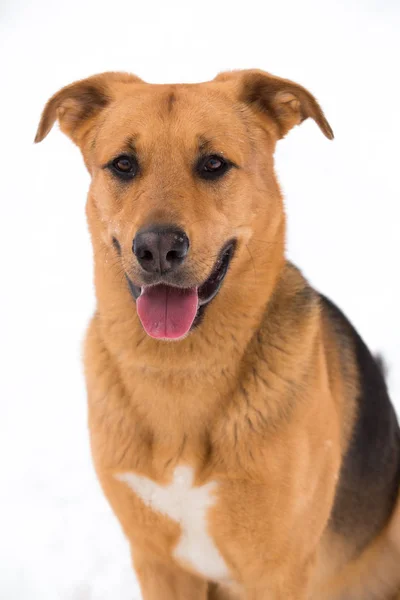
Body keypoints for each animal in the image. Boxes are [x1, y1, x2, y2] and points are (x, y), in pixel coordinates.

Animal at [35, 71, 400, 600]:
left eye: (213, 164)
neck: (180, 371)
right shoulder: (158, 563)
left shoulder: (278, 570)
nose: (158, 248)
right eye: (123, 164)